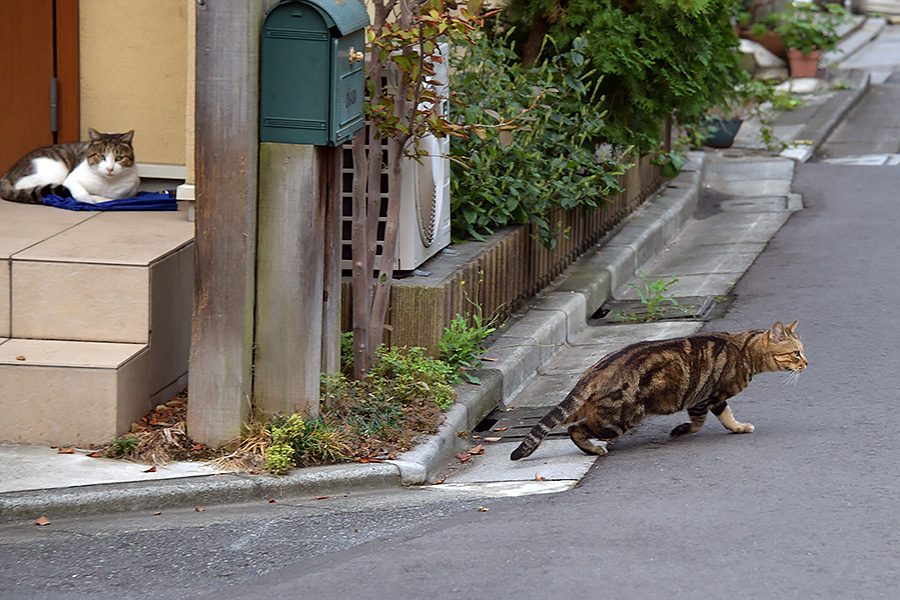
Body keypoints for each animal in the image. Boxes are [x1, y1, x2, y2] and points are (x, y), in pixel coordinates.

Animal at [512, 322, 808, 462]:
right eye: (796, 352)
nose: (806, 362)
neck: (745, 350)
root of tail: (593, 372)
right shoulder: (705, 398)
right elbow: (701, 423)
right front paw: (680, 431)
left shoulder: (713, 399)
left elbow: (726, 417)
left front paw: (738, 427)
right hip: (618, 419)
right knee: (576, 429)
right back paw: (594, 449)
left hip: (589, 409)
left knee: (563, 423)